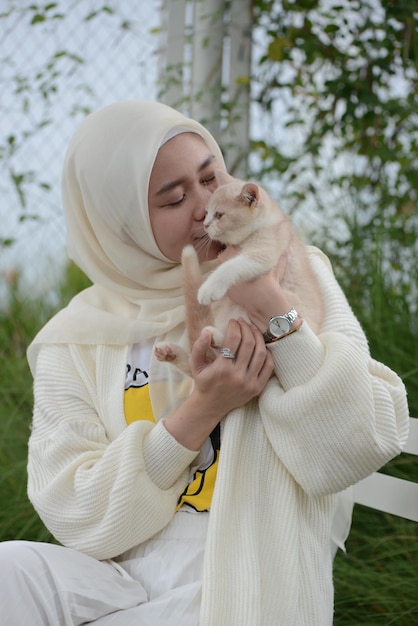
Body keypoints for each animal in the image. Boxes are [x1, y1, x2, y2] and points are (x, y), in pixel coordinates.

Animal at [156, 169, 324, 376]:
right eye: (206, 213)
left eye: (219, 215)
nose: (205, 225)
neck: (265, 223)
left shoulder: (262, 253)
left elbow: (231, 265)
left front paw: (209, 287)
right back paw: (173, 351)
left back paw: (212, 337)